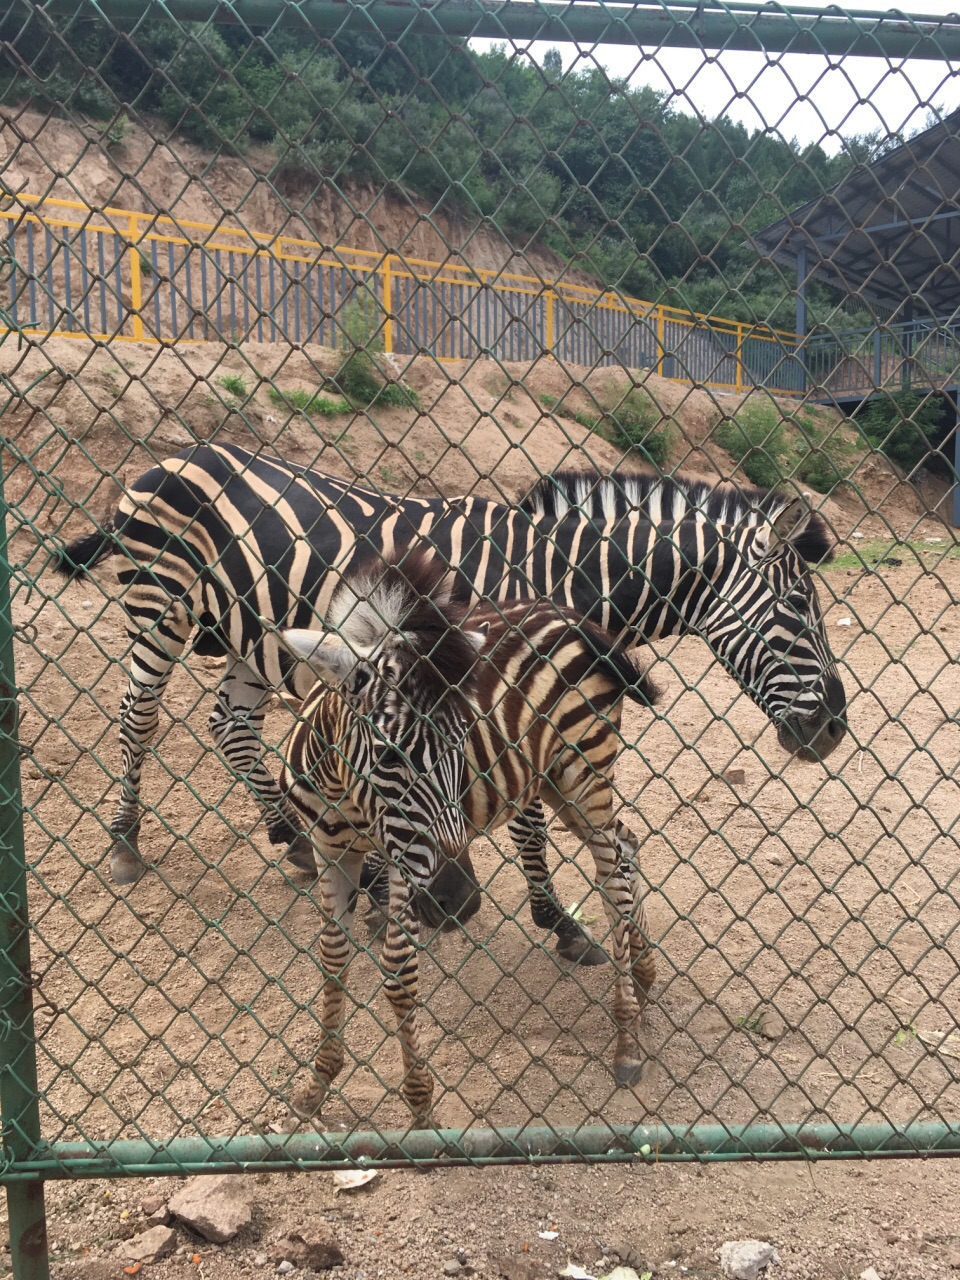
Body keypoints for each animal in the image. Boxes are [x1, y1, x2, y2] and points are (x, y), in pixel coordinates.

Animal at [277, 555, 660, 1126]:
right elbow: (330, 953)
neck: (344, 792)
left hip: (584, 772)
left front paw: (420, 1108)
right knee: (626, 844)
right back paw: (644, 971)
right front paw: (319, 1081)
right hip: (555, 783)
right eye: (388, 754)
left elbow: (398, 971)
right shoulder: (333, 852)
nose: (459, 897)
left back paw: (628, 1042)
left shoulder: (402, 860)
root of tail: (570, 616)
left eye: (462, 743)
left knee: (612, 872)